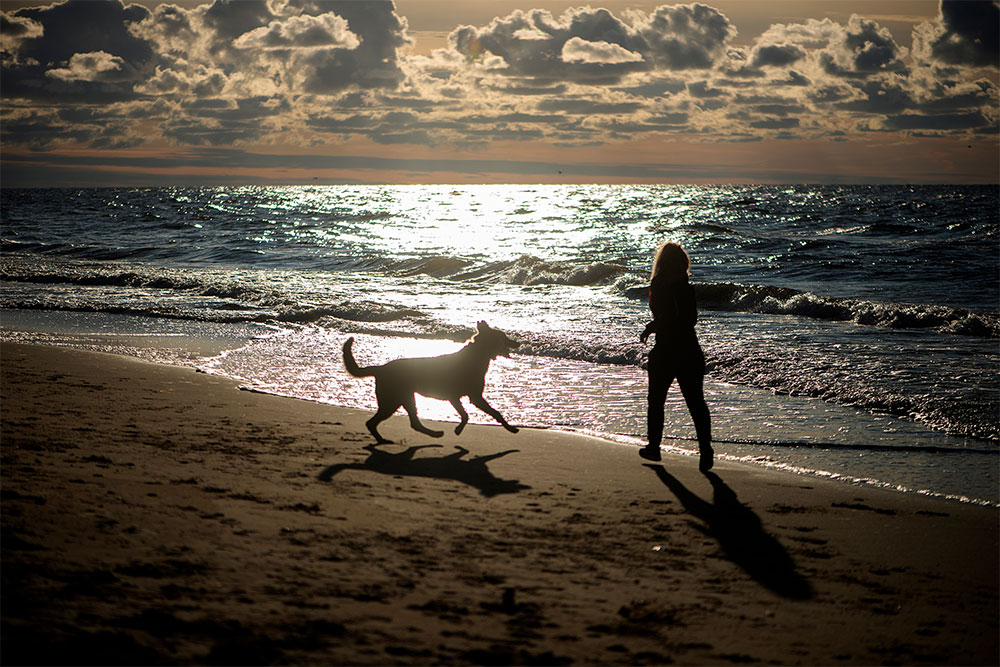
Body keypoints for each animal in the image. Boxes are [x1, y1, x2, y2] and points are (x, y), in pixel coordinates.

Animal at [344, 322, 520, 444]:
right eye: (504, 337)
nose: (518, 343)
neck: (476, 357)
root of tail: (381, 368)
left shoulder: (466, 397)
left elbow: (481, 413)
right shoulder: (464, 397)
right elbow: (473, 414)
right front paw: (459, 429)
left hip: (404, 399)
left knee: (411, 423)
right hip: (393, 401)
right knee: (373, 422)